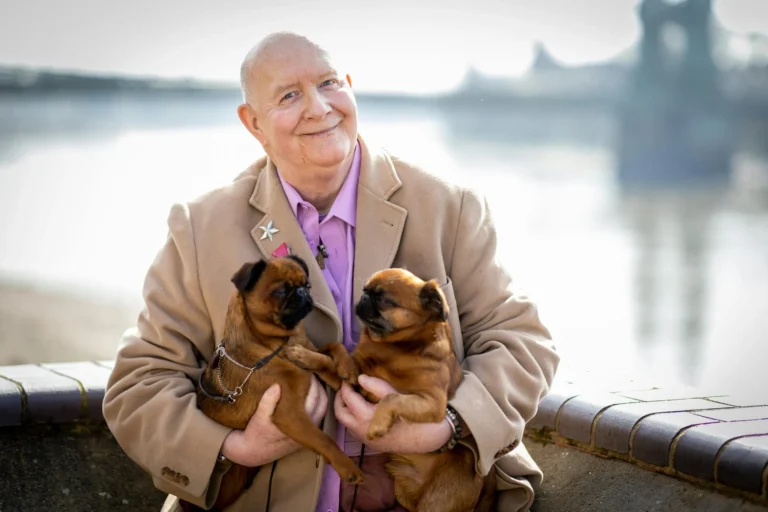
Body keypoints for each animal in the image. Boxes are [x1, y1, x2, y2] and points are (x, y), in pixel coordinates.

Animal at [192, 258, 364, 510]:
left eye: (307, 284)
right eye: (281, 291)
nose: (303, 291)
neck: (280, 342)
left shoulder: (315, 356)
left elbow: (333, 347)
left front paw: (347, 367)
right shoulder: (291, 415)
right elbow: (324, 440)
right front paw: (348, 467)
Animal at [284, 268, 496, 512]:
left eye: (384, 300)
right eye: (365, 289)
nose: (364, 296)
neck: (393, 348)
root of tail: (485, 484)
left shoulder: (433, 403)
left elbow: (392, 397)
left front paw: (377, 425)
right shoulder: (352, 384)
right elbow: (333, 354)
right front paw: (310, 357)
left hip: (436, 502)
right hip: (403, 489)